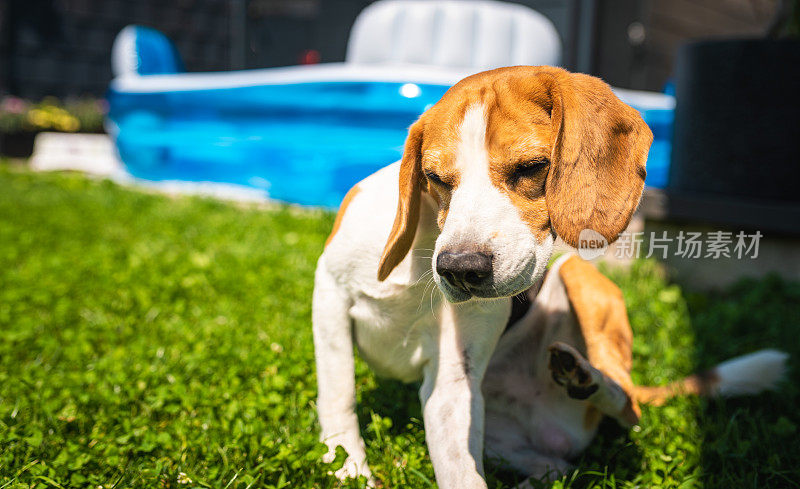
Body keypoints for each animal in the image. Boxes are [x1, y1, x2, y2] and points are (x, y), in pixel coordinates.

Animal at [314, 66, 788, 488]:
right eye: (434, 178)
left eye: (531, 167)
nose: (461, 269)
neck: (423, 249)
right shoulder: (330, 297)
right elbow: (339, 395)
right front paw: (346, 468)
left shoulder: (453, 374)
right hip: (503, 439)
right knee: (555, 464)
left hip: (578, 273)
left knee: (628, 405)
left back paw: (586, 378)